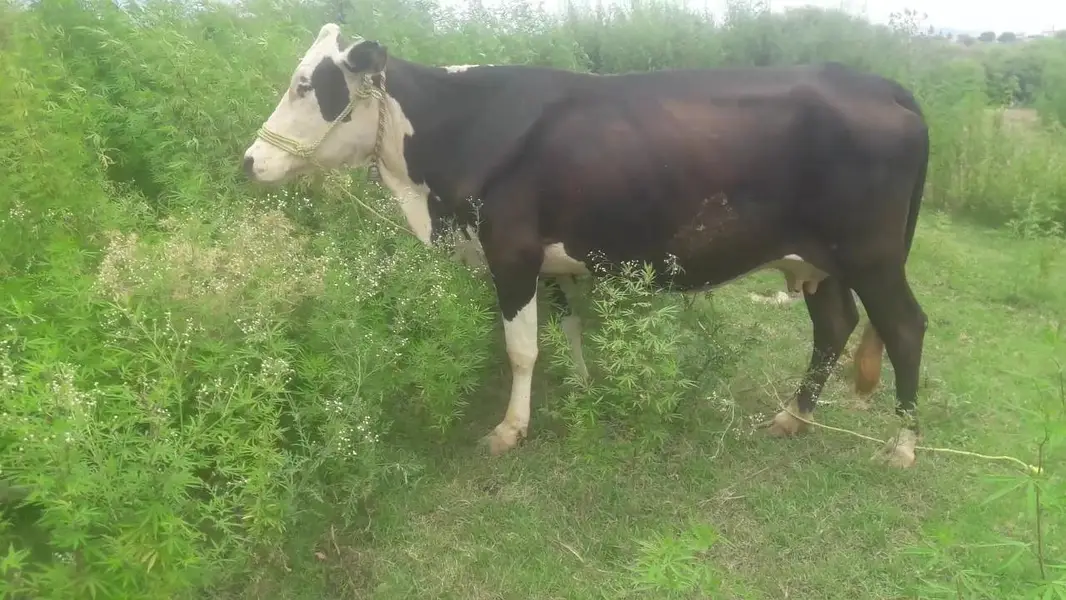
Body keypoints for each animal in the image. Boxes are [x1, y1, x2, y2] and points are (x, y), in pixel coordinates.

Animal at [241, 24, 930, 468]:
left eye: (306, 85)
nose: (249, 161)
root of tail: (879, 84)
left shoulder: (511, 254)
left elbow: (521, 348)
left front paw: (510, 429)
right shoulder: (551, 260)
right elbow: (567, 327)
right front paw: (582, 385)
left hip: (872, 255)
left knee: (904, 327)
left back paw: (902, 445)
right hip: (822, 259)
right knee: (834, 324)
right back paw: (794, 416)